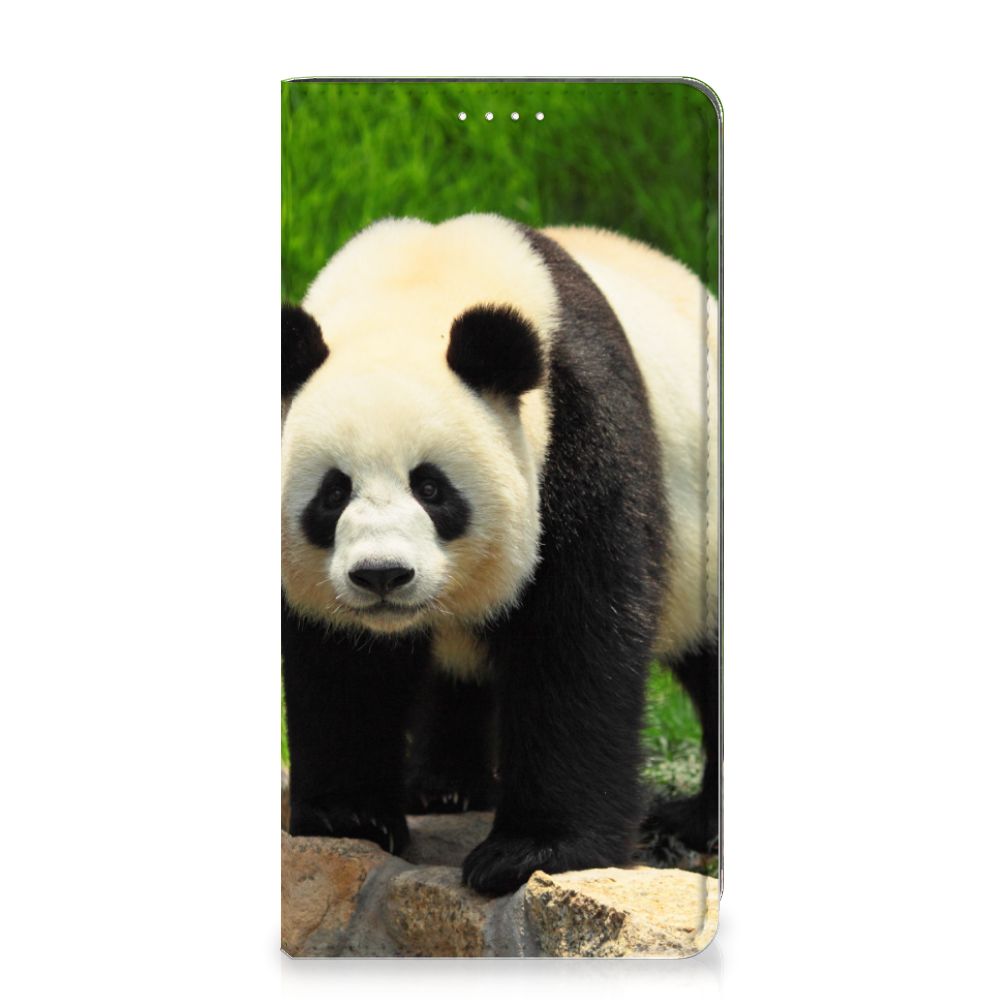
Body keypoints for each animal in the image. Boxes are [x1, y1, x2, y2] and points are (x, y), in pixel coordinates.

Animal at [281, 213, 719, 897]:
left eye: (431, 487)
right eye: (333, 493)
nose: (382, 575)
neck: (416, 288)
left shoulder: (578, 431)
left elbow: (576, 638)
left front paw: (532, 851)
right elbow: (339, 661)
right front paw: (347, 816)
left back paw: (698, 822)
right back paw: (444, 786)